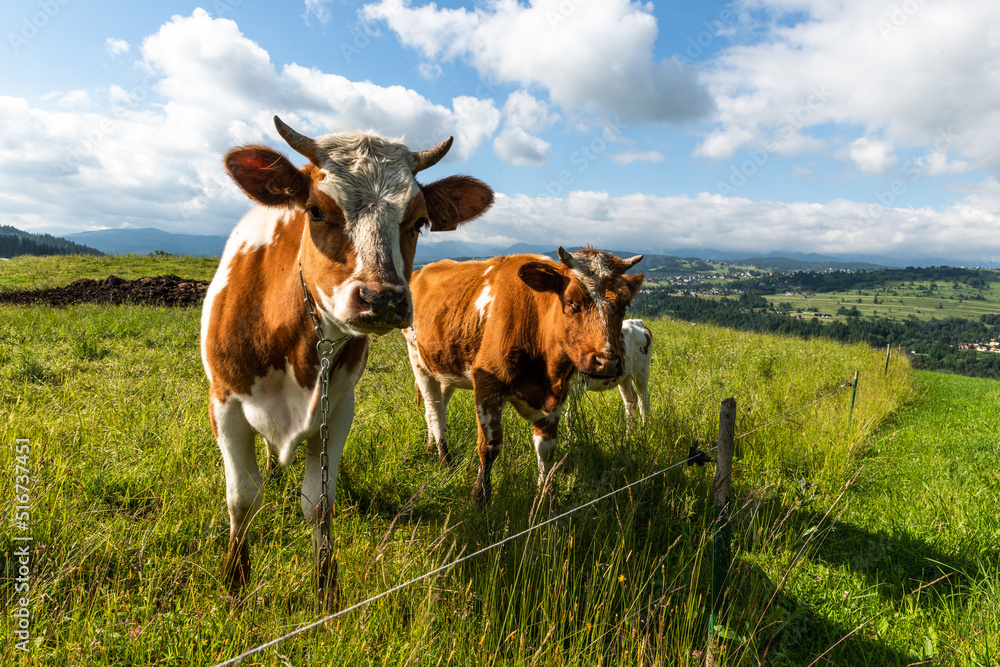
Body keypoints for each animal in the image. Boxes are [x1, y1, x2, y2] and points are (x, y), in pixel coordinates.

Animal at [200, 115, 493, 607]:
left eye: (419, 221)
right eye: (316, 210)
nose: (383, 299)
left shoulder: (338, 410)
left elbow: (320, 504)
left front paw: (326, 590)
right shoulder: (226, 405)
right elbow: (242, 498)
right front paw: (235, 583)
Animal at [403, 247, 643, 505]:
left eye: (623, 305)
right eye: (572, 302)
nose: (606, 362)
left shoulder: (556, 395)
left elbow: (546, 449)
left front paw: (546, 496)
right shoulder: (487, 386)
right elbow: (489, 446)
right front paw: (480, 498)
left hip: (445, 367)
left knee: (439, 407)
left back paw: (431, 448)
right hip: (418, 359)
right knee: (434, 410)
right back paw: (445, 462)